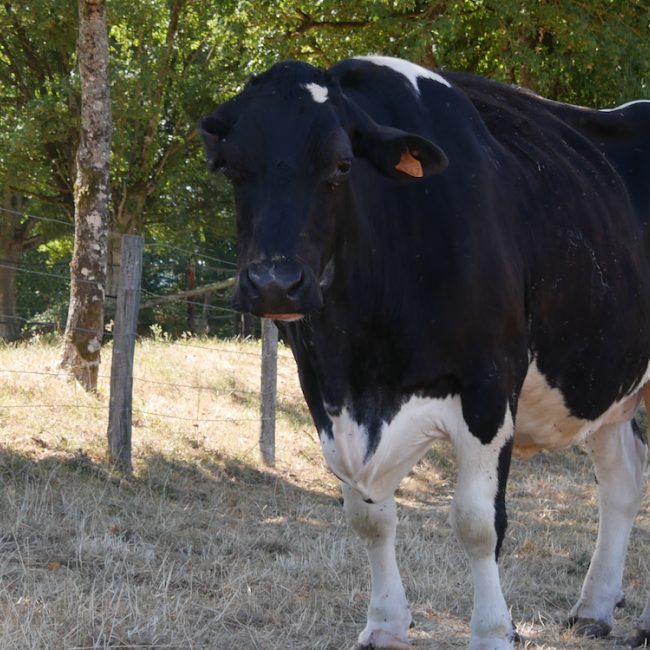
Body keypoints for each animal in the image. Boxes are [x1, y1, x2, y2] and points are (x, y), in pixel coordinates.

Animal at [199, 55, 650, 649]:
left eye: (342, 165)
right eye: (231, 167)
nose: (275, 284)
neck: (363, 368)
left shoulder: (489, 384)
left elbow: (478, 523)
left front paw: (492, 633)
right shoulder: (323, 392)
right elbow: (368, 517)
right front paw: (385, 625)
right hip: (603, 376)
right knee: (623, 477)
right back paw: (595, 609)